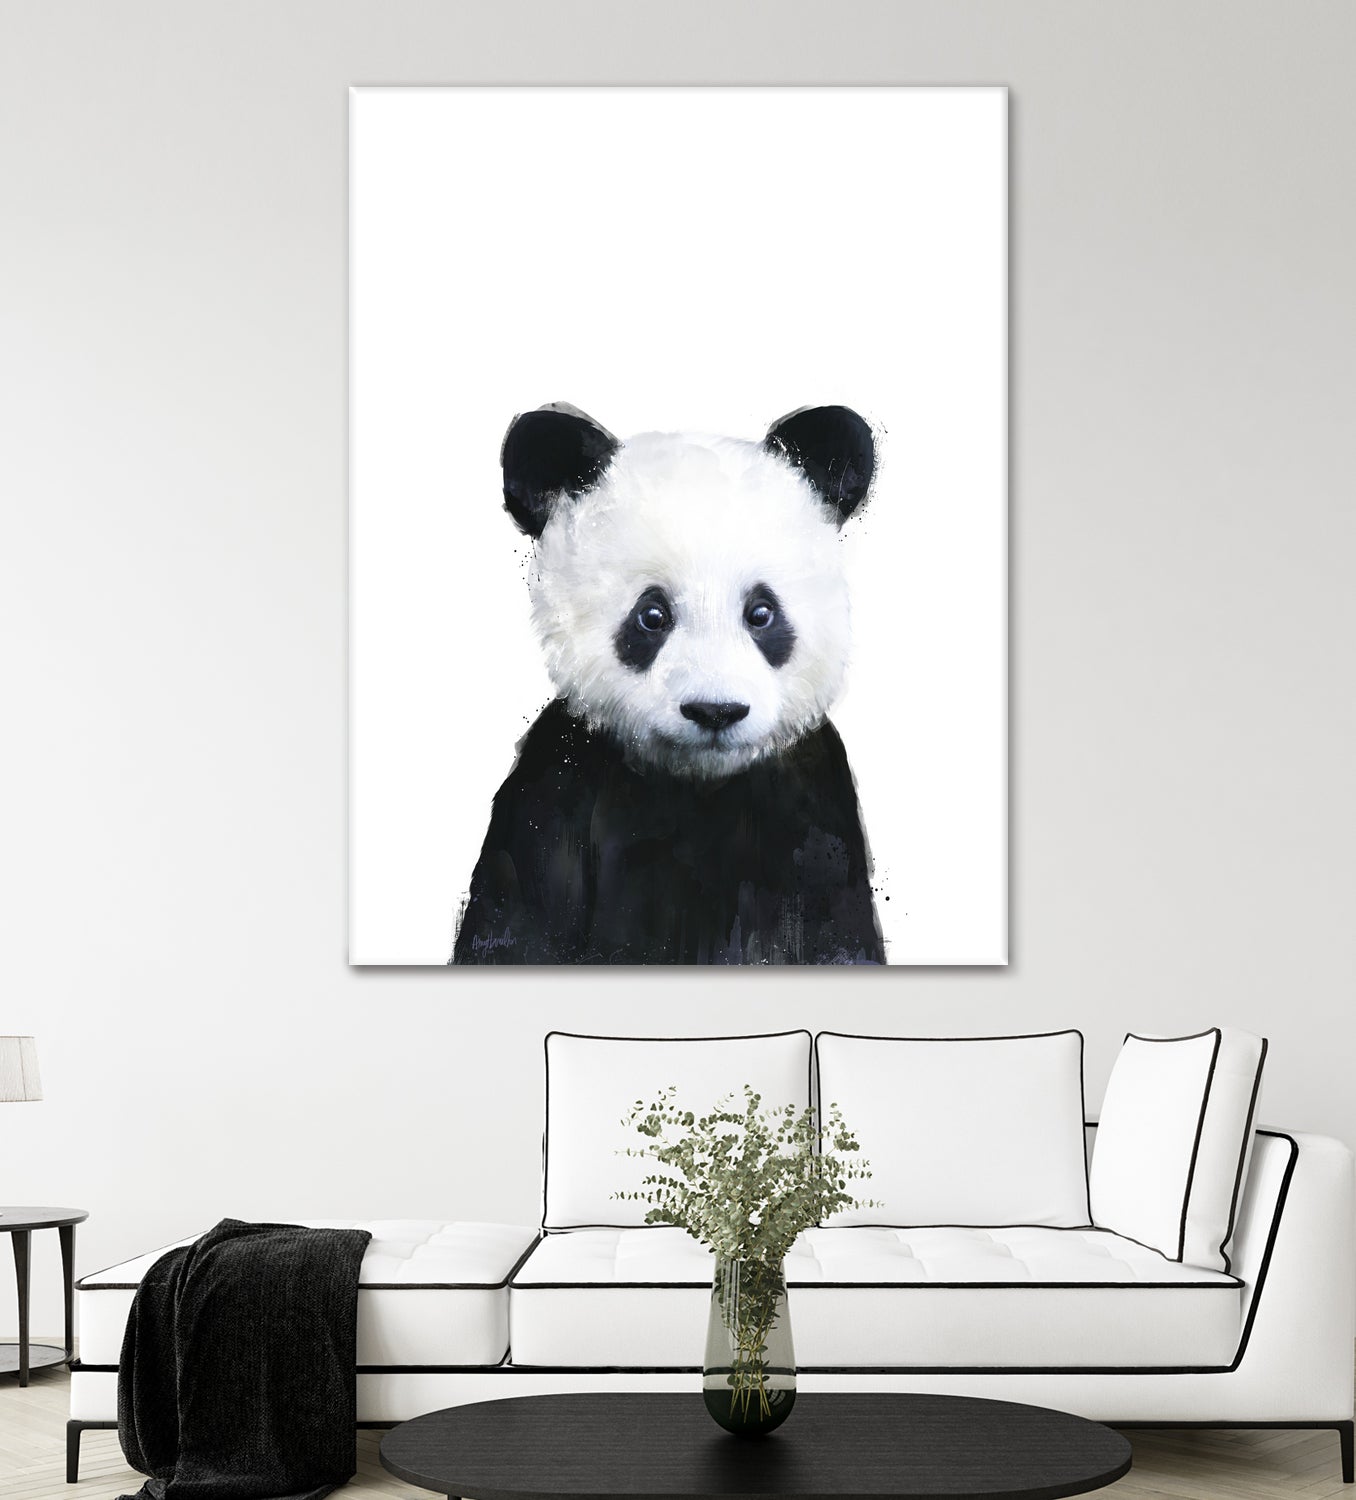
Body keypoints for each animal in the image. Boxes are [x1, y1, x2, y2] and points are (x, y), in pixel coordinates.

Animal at [451, 403, 884, 966]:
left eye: (761, 612)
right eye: (652, 615)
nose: (715, 711)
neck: (697, 783)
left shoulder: (813, 808)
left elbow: (837, 935)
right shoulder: (556, 790)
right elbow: (517, 924)